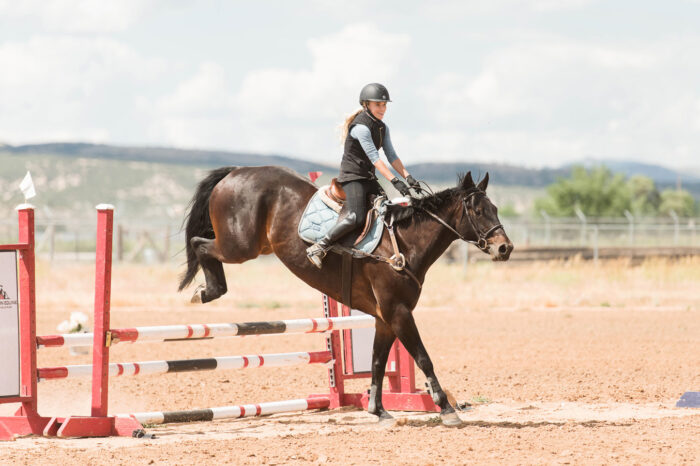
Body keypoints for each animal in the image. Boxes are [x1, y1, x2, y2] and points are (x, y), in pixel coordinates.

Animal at [179, 165, 513, 426]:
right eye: (479, 211)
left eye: (496, 209)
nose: (504, 248)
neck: (404, 243)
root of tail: (236, 171)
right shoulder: (398, 312)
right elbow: (423, 358)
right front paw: (445, 408)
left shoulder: (385, 318)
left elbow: (378, 361)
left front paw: (378, 410)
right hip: (239, 246)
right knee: (198, 243)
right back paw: (206, 291)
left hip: (256, 246)